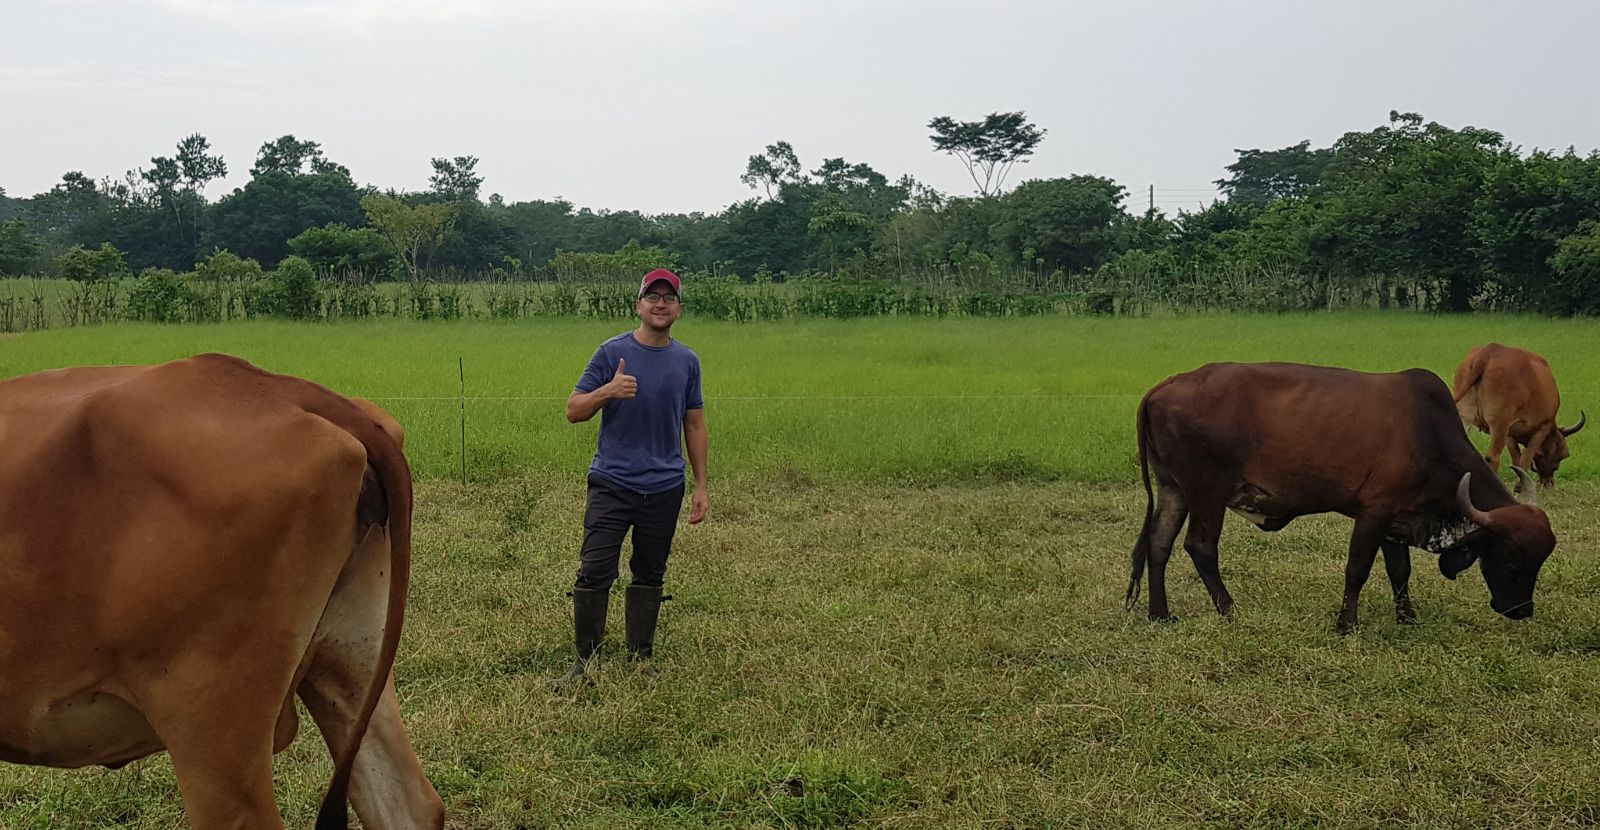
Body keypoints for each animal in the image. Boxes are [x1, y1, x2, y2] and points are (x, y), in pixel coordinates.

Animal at [1125, 362, 1557, 633]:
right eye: (1511, 558)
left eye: (1540, 561)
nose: (1522, 611)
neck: (1428, 435)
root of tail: (1165, 386)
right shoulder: (1373, 512)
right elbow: (1357, 569)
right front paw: (1346, 623)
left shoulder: (1397, 519)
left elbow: (1399, 572)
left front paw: (1407, 618)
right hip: (1207, 493)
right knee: (1200, 547)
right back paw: (1230, 610)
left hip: (1173, 489)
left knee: (1159, 545)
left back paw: (1160, 614)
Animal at [1453, 342, 1585, 487]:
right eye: (1562, 455)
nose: (1548, 482)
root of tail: (1487, 352)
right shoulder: (1542, 426)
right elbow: (1526, 457)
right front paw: (1521, 486)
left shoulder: (1510, 433)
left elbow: (1516, 458)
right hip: (1499, 423)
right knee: (1493, 457)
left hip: (1465, 417)